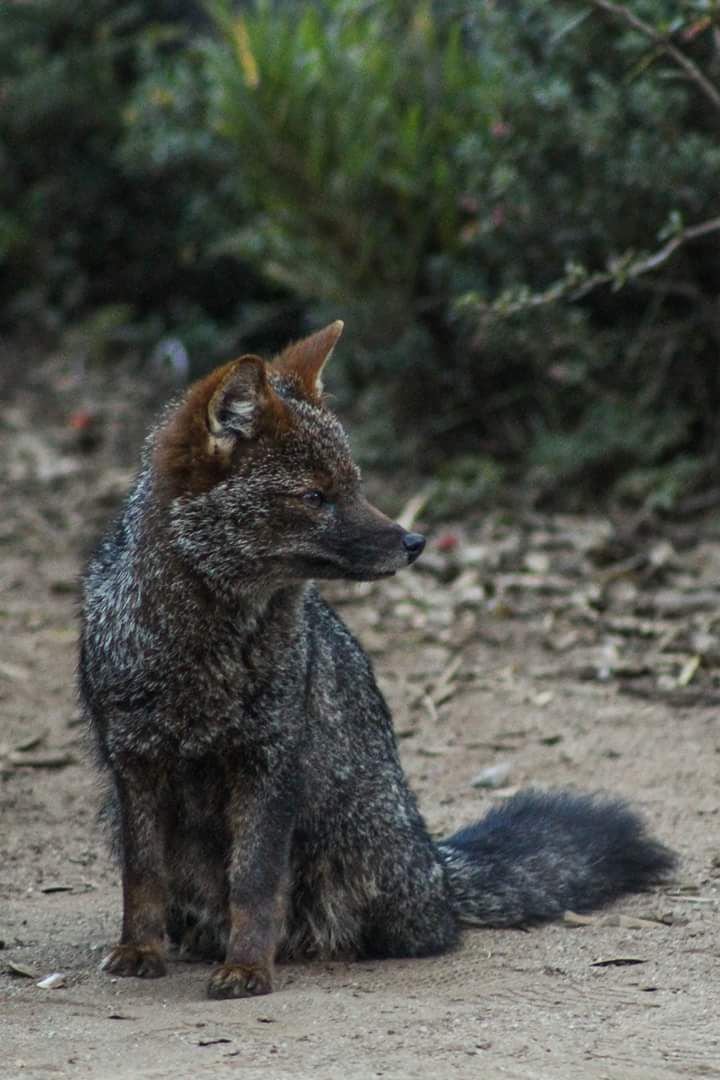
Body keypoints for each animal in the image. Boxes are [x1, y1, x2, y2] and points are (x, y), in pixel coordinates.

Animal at [78, 321, 677, 1002]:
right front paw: (139, 950)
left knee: (411, 928)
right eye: (315, 495)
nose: (414, 541)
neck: (204, 656)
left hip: (356, 846)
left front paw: (249, 967)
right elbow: (142, 877)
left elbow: (254, 883)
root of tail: (436, 863)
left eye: (355, 484)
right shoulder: (134, 763)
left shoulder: (269, 761)